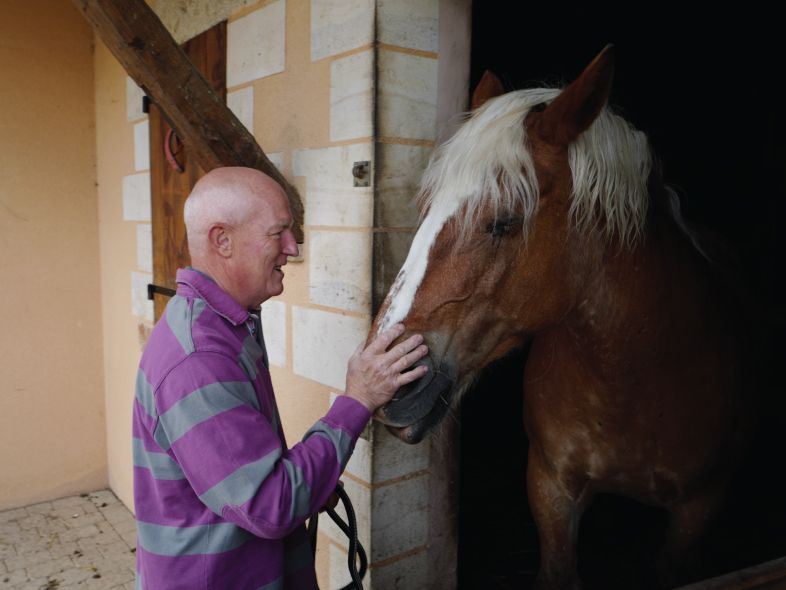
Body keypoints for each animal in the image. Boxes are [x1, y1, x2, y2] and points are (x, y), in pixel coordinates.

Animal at [370, 47, 756, 590]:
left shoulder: (696, 512)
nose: (387, 383)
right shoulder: (551, 491)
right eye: (425, 208)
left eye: (503, 222)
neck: (637, 383)